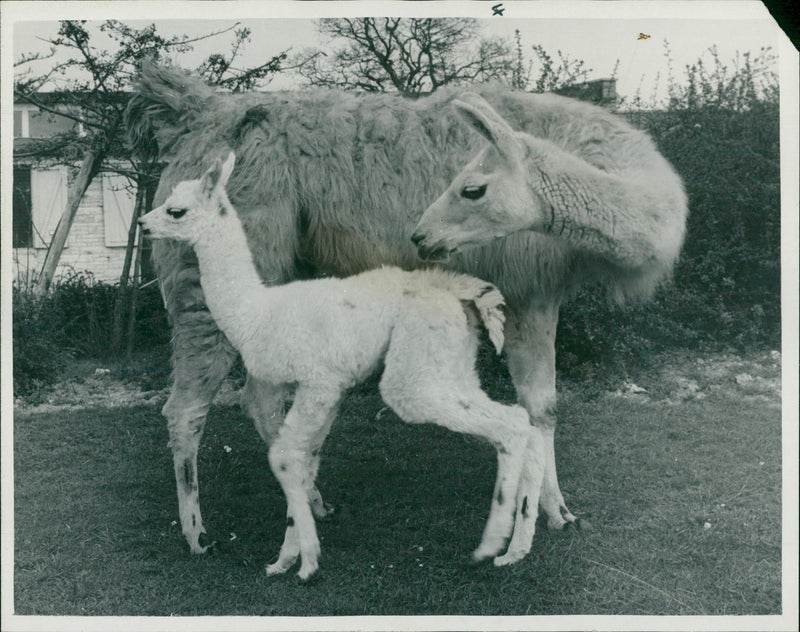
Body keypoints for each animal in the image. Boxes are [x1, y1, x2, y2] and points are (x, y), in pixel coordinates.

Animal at [141, 152, 548, 576]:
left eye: (175, 210)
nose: (142, 224)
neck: (256, 312)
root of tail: (458, 290)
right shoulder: (332, 389)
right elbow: (304, 461)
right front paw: (289, 555)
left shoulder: (319, 382)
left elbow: (285, 457)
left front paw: (302, 561)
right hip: (451, 367)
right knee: (523, 420)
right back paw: (518, 546)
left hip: (413, 378)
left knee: (508, 427)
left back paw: (492, 543)